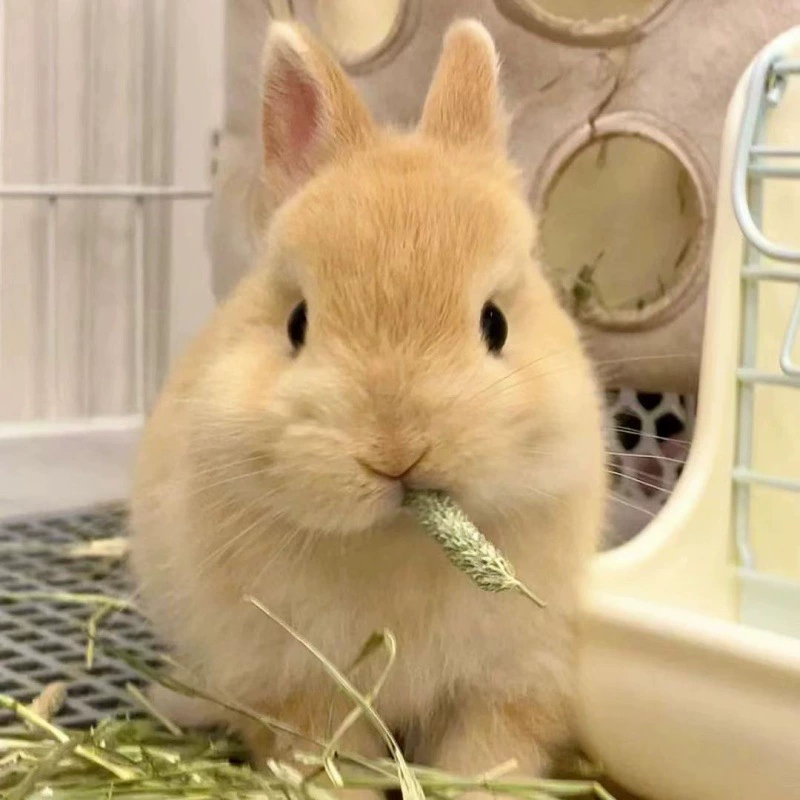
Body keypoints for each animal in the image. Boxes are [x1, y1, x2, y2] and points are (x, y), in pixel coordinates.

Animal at [130, 17, 606, 790]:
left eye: (496, 324)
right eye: (297, 324)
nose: (396, 450)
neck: (400, 540)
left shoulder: (508, 680)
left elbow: (488, 756)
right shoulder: (299, 687)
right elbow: (324, 756)